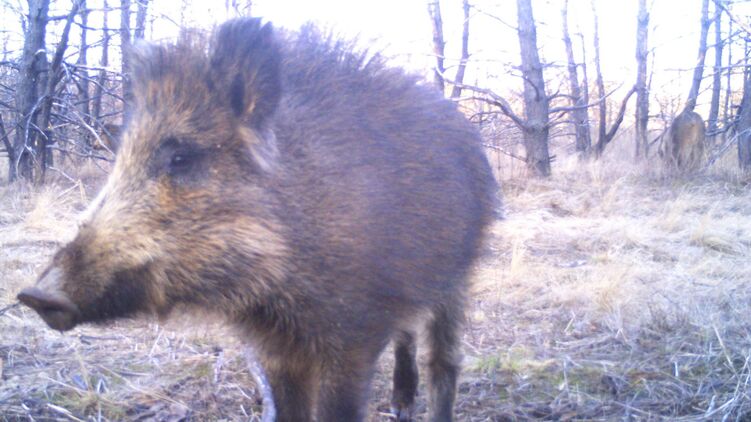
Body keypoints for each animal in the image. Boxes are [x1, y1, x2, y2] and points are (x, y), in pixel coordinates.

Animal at [18, 18, 498, 422]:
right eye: (119, 160)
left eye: (180, 157)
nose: (34, 295)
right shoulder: (275, 349)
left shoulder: (353, 335)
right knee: (408, 334)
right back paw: (400, 407)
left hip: (459, 276)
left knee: (444, 359)